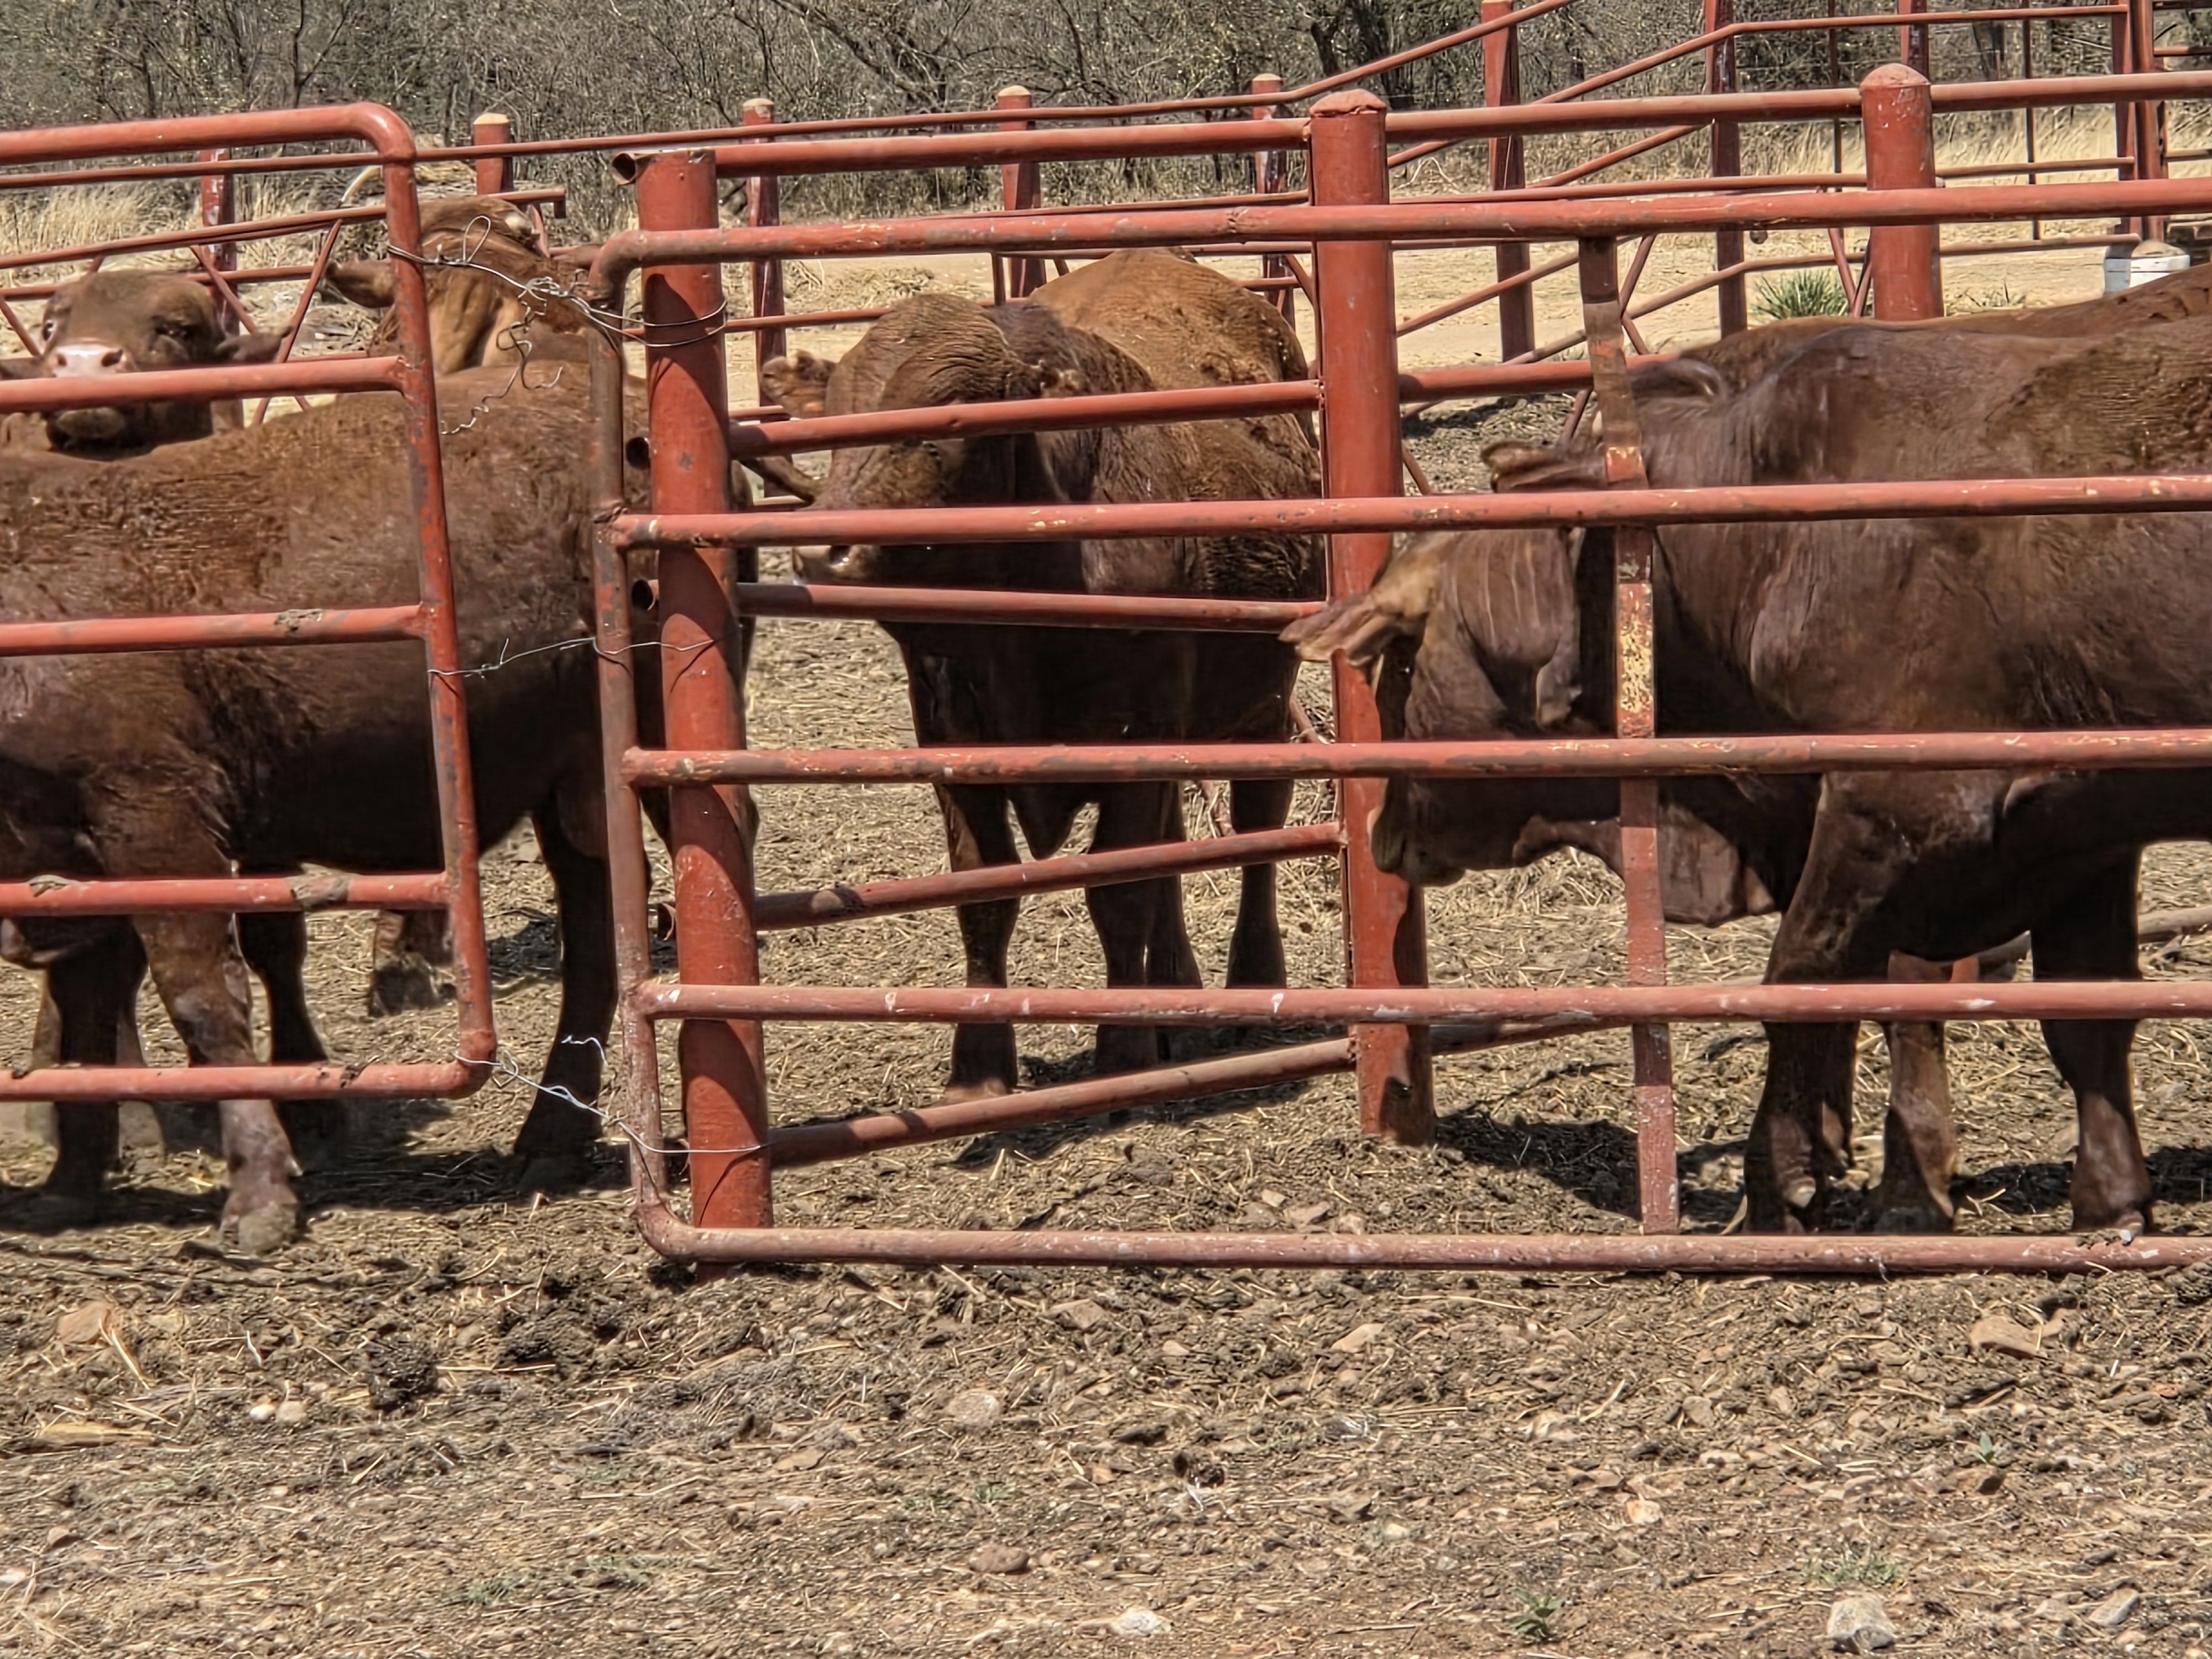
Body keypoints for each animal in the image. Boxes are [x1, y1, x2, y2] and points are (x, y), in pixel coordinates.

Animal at [0, 363, 678, 1251]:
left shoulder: (156, 825)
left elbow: (203, 1004)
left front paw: (259, 1198)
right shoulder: (68, 867)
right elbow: (86, 1020)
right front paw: (69, 1184)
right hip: (570, 791)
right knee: (600, 934)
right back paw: (552, 1141)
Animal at [760, 249, 1322, 1099]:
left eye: (949, 423)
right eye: (837, 417)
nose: (828, 549)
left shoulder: (1137, 743)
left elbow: (1120, 893)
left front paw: (1122, 1054)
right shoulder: (956, 745)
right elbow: (985, 894)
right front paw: (979, 1067)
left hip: (1260, 706)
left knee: (1257, 831)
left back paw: (1251, 989)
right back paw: (1177, 995)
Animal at [1289, 309, 2212, 1236]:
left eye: (1401, 657)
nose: (1381, 833)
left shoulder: (1901, 803)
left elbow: (1802, 977)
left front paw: (1782, 1182)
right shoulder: (2081, 826)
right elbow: (2087, 1016)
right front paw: (2110, 1204)